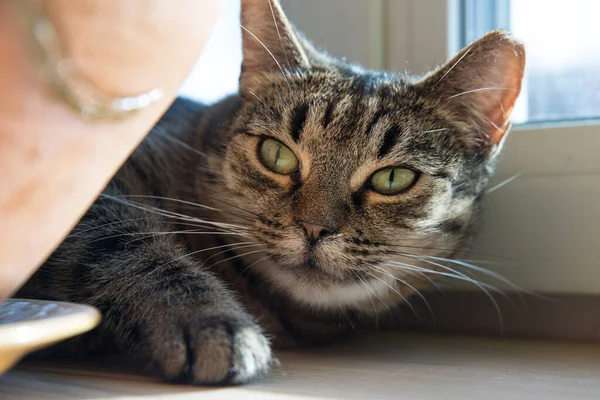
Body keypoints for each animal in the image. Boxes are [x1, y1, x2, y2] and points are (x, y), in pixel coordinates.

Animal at [19, 0, 524, 386]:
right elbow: (128, 246)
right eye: (276, 154)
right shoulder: (89, 198)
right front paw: (209, 321)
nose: (315, 228)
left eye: (392, 179)